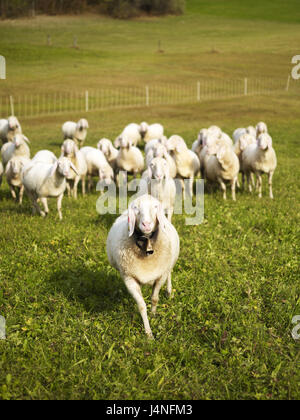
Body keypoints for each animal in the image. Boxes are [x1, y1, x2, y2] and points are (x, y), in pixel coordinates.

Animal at [106, 195, 179, 340]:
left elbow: (155, 298)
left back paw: (169, 291)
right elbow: (141, 306)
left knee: (169, 273)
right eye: (135, 208)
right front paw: (148, 333)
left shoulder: (160, 275)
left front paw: (153, 315)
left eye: (155, 206)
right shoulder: (129, 278)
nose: (146, 224)